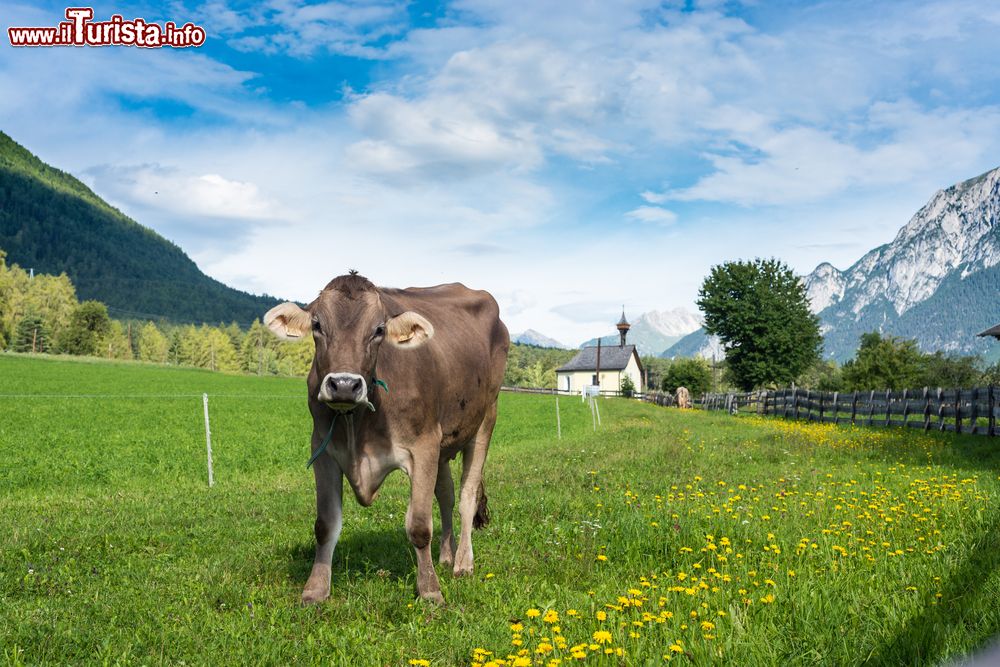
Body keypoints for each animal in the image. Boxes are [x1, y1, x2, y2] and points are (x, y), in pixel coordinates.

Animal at [264, 272, 508, 604]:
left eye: (378, 330)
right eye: (317, 325)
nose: (344, 385)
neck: (358, 422)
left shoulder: (423, 446)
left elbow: (419, 526)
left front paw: (430, 590)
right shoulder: (323, 450)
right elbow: (325, 525)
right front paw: (315, 589)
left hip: (486, 418)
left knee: (466, 497)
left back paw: (463, 563)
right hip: (443, 442)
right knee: (445, 494)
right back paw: (446, 555)